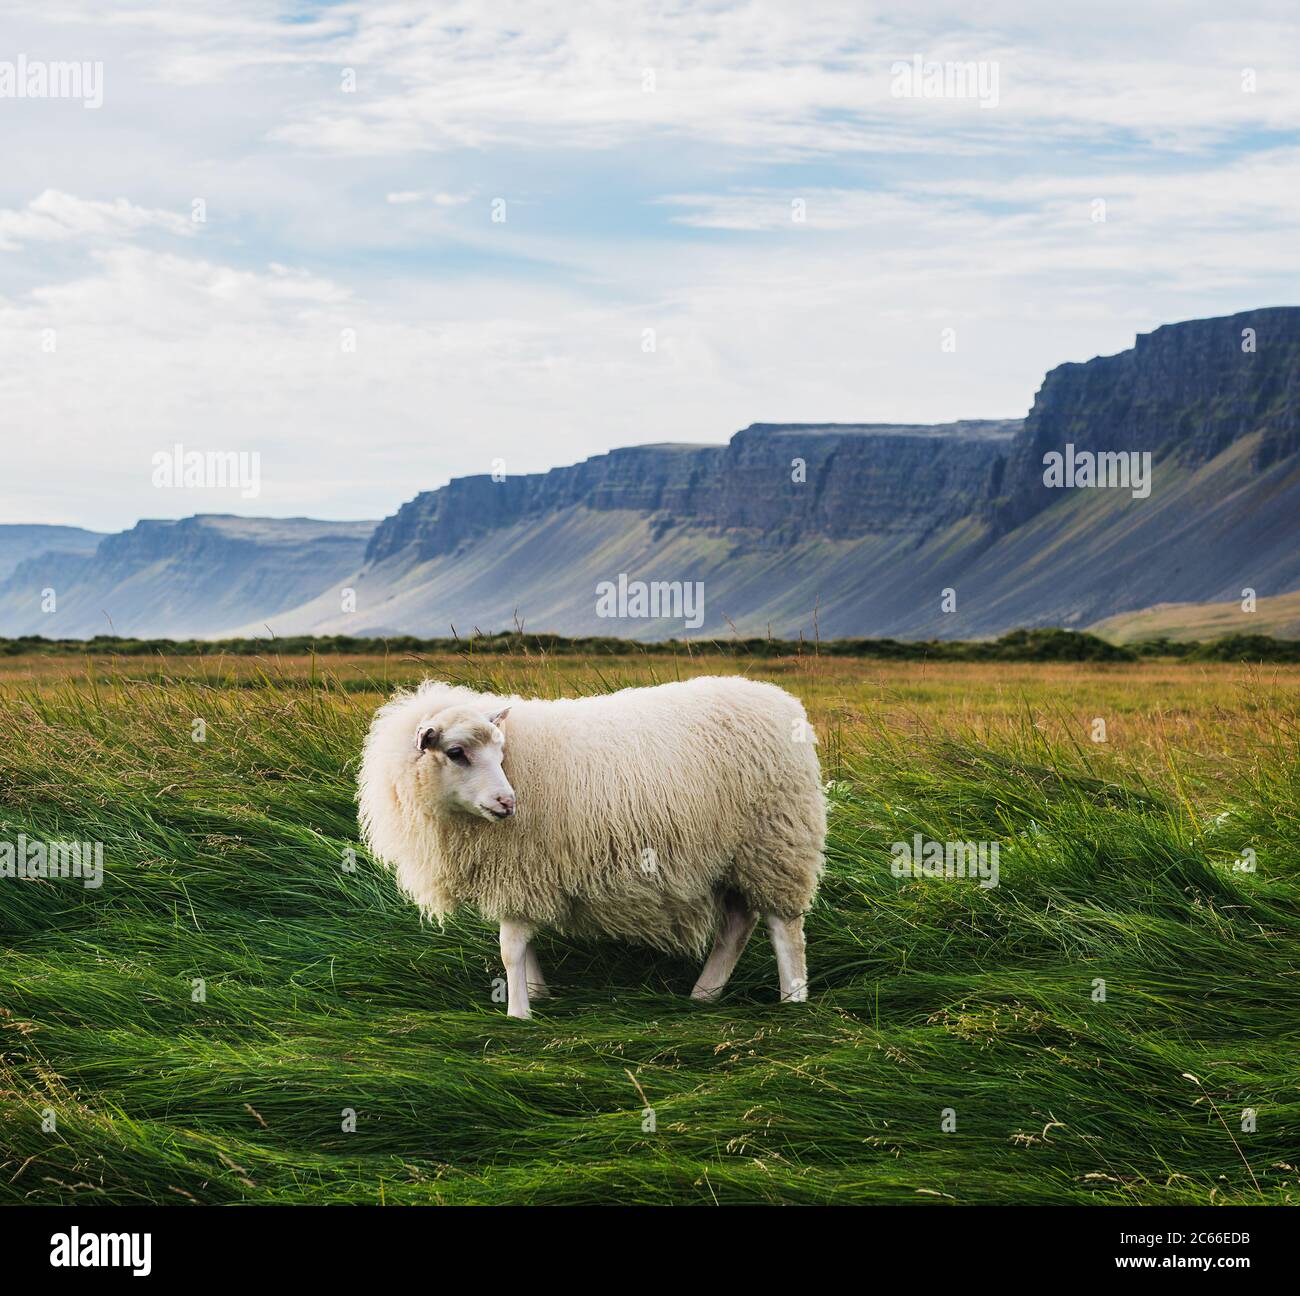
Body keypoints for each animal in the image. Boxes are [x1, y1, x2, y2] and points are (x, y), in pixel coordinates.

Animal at [356, 670, 821, 1019]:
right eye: (456, 752)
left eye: (500, 751)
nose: (508, 803)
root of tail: (782, 701)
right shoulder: (514, 878)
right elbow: (523, 948)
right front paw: (536, 992)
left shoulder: (522, 867)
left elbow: (510, 950)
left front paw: (519, 1014)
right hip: (739, 855)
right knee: (737, 927)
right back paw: (703, 995)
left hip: (778, 841)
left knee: (786, 931)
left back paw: (794, 1003)